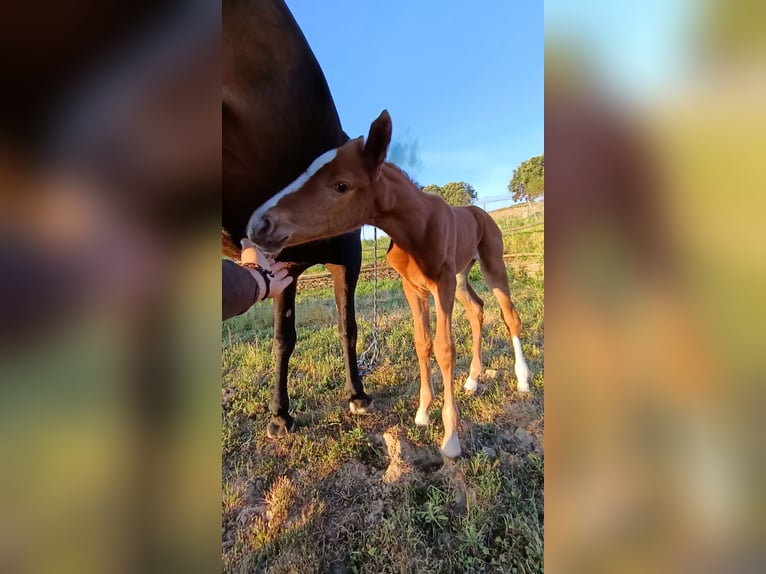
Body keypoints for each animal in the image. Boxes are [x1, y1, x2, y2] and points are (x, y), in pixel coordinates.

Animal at [247, 109, 531, 458]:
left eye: (341, 185)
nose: (258, 224)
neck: (417, 226)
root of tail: (481, 213)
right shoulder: (413, 287)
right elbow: (422, 342)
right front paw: (422, 413)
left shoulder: (442, 283)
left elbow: (444, 347)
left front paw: (450, 438)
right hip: (462, 276)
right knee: (477, 310)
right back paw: (474, 380)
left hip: (491, 265)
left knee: (509, 314)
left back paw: (523, 380)